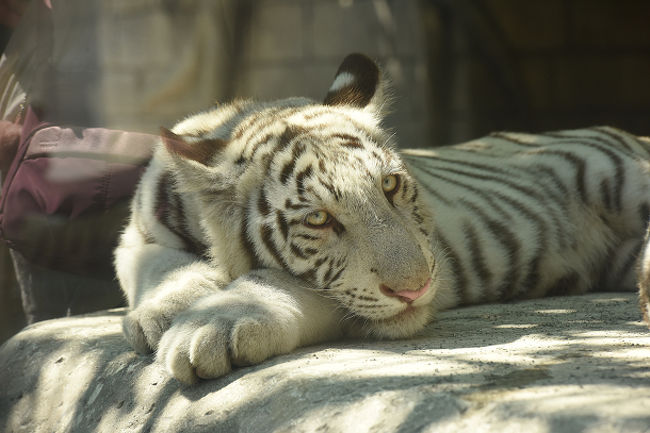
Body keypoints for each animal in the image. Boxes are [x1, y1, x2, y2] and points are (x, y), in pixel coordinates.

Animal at [116, 53, 648, 382]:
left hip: (620, 175)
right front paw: (161, 314)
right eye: (318, 219)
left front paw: (205, 330)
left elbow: (276, 282)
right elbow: (162, 267)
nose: (417, 288)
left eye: (389, 186)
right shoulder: (135, 236)